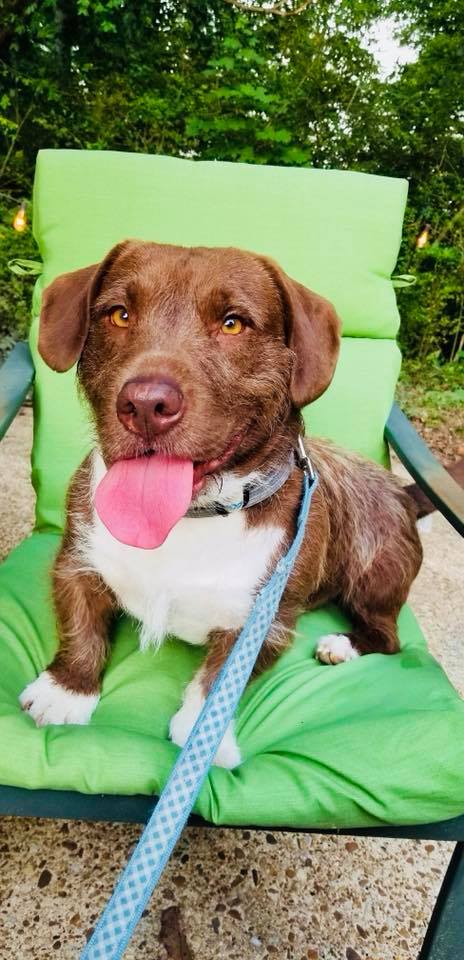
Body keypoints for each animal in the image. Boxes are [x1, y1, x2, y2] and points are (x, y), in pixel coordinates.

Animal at [20, 244, 422, 768]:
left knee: (388, 637)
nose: (145, 405)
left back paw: (343, 645)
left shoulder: (263, 626)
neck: (191, 518)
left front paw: (200, 735)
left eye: (233, 324)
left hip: (374, 575)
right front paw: (67, 690)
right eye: (119, 314)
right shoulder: (76, 565)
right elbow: (81, 630)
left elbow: (215, 685)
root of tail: (404, 492)